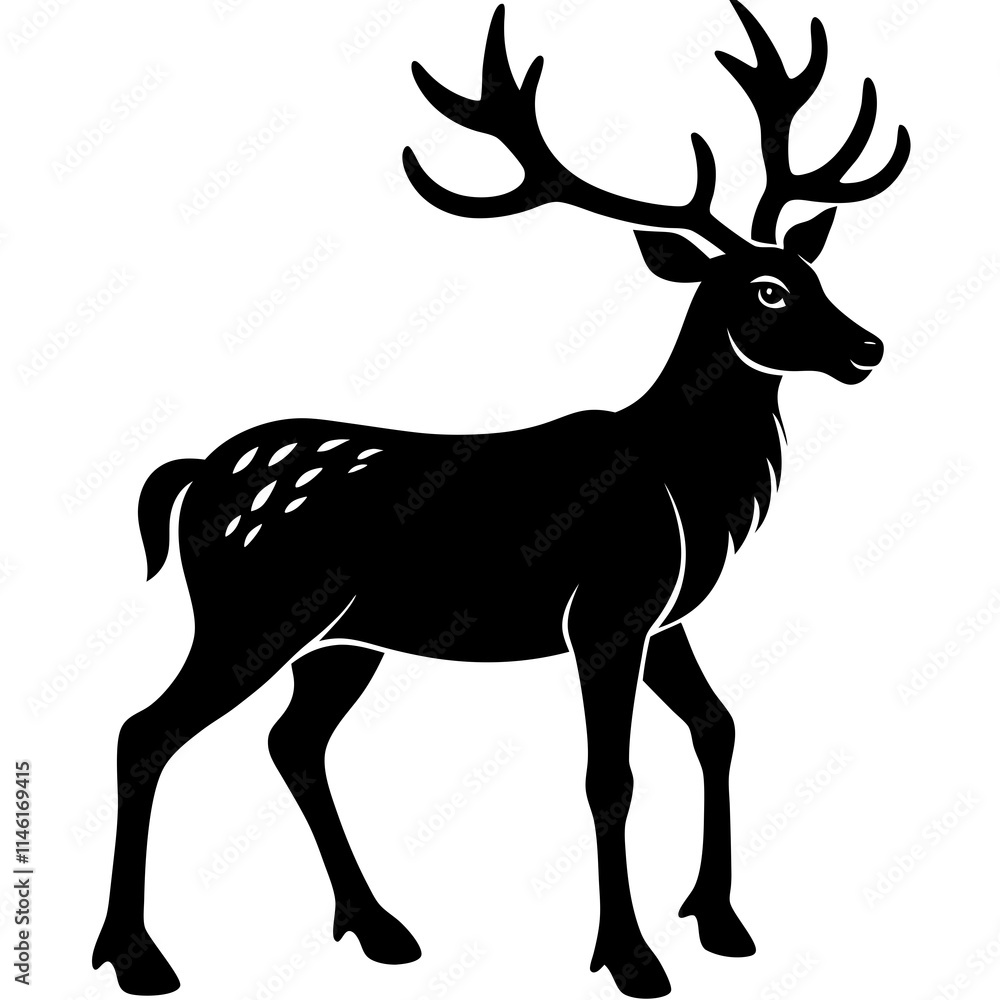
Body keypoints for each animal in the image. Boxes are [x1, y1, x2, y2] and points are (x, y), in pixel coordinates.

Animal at [92, 3, 908, 996]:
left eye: (816, 271)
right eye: (769, 289)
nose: (867, 347)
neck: (688, 485)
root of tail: (191, 477)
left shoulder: (663, 615)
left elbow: (718, 727)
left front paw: (719, 920)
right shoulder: (607, 609)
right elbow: (609, 777)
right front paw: (629, 956)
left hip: (342, 640)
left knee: (292, 741)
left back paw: (378, 927)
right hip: (252, 612)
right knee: (145, 730)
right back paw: (137, 956)